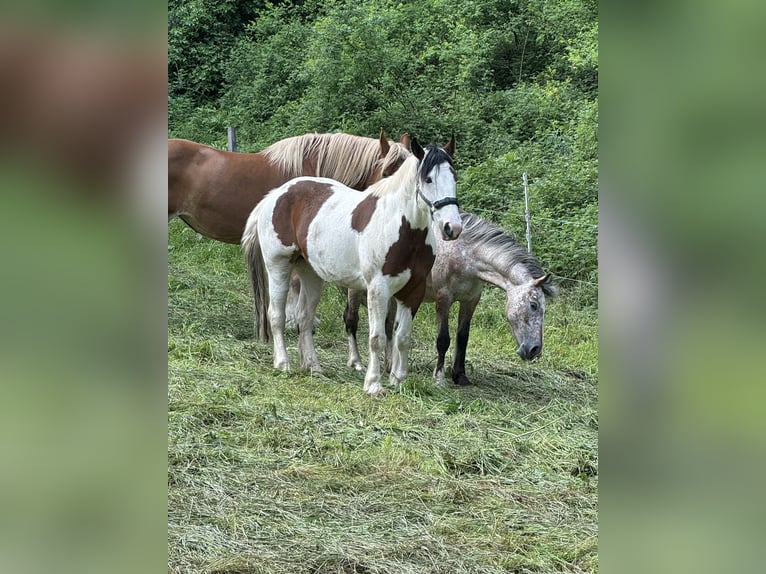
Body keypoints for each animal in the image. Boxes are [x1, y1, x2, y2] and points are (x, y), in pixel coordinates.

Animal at [243, 142, 464, 398]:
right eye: (428, 179)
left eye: (454, 177)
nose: (452, 228)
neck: (401, 229)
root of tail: (275, 195)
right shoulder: (378, 289)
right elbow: (377, 338)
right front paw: (374, 384)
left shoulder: (413, 291)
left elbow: (402, 337)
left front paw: (398, 380)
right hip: (278, 267)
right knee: (276, 315)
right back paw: (283, 363)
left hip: (310, 274)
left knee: (304, 318)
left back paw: (313, 367)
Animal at [344, 212, 556, 388]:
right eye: (533, 305)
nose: (535, 350)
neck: (464, 256)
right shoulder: (443, 298)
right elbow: (443, 339)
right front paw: (439, 378)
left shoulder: (470, 301)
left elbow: (463, 337)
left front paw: (460, 376)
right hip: (358, 289)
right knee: (351, 320)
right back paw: (357, 364)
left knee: (389, 326)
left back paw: (389, 366)